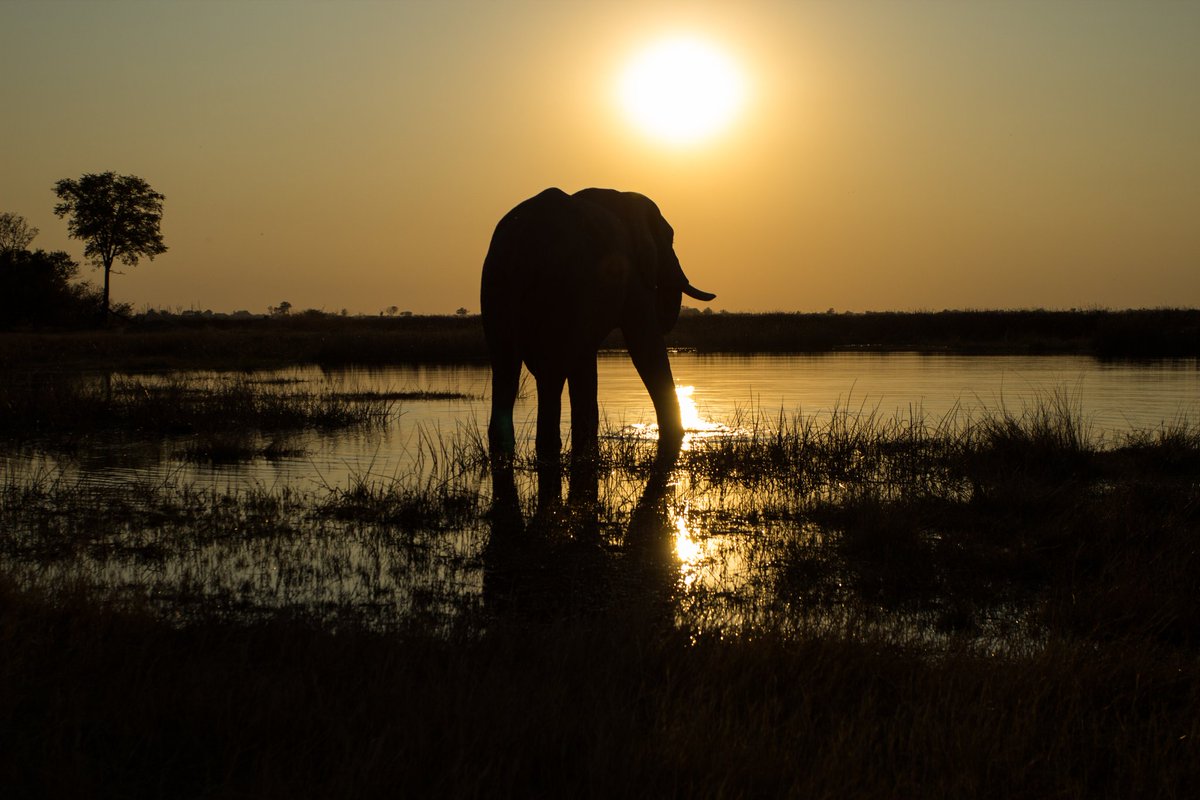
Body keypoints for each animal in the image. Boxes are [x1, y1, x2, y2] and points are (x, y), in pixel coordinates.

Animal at [481, 187, 715, 464]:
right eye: (670, 239)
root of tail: (521, 242)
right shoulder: (630, 273)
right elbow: (644, 345)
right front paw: (677, 434)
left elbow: (586, 361)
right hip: (562, 285)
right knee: (551, 372)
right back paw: (548, 445)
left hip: (496, 284)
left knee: (505, 368)